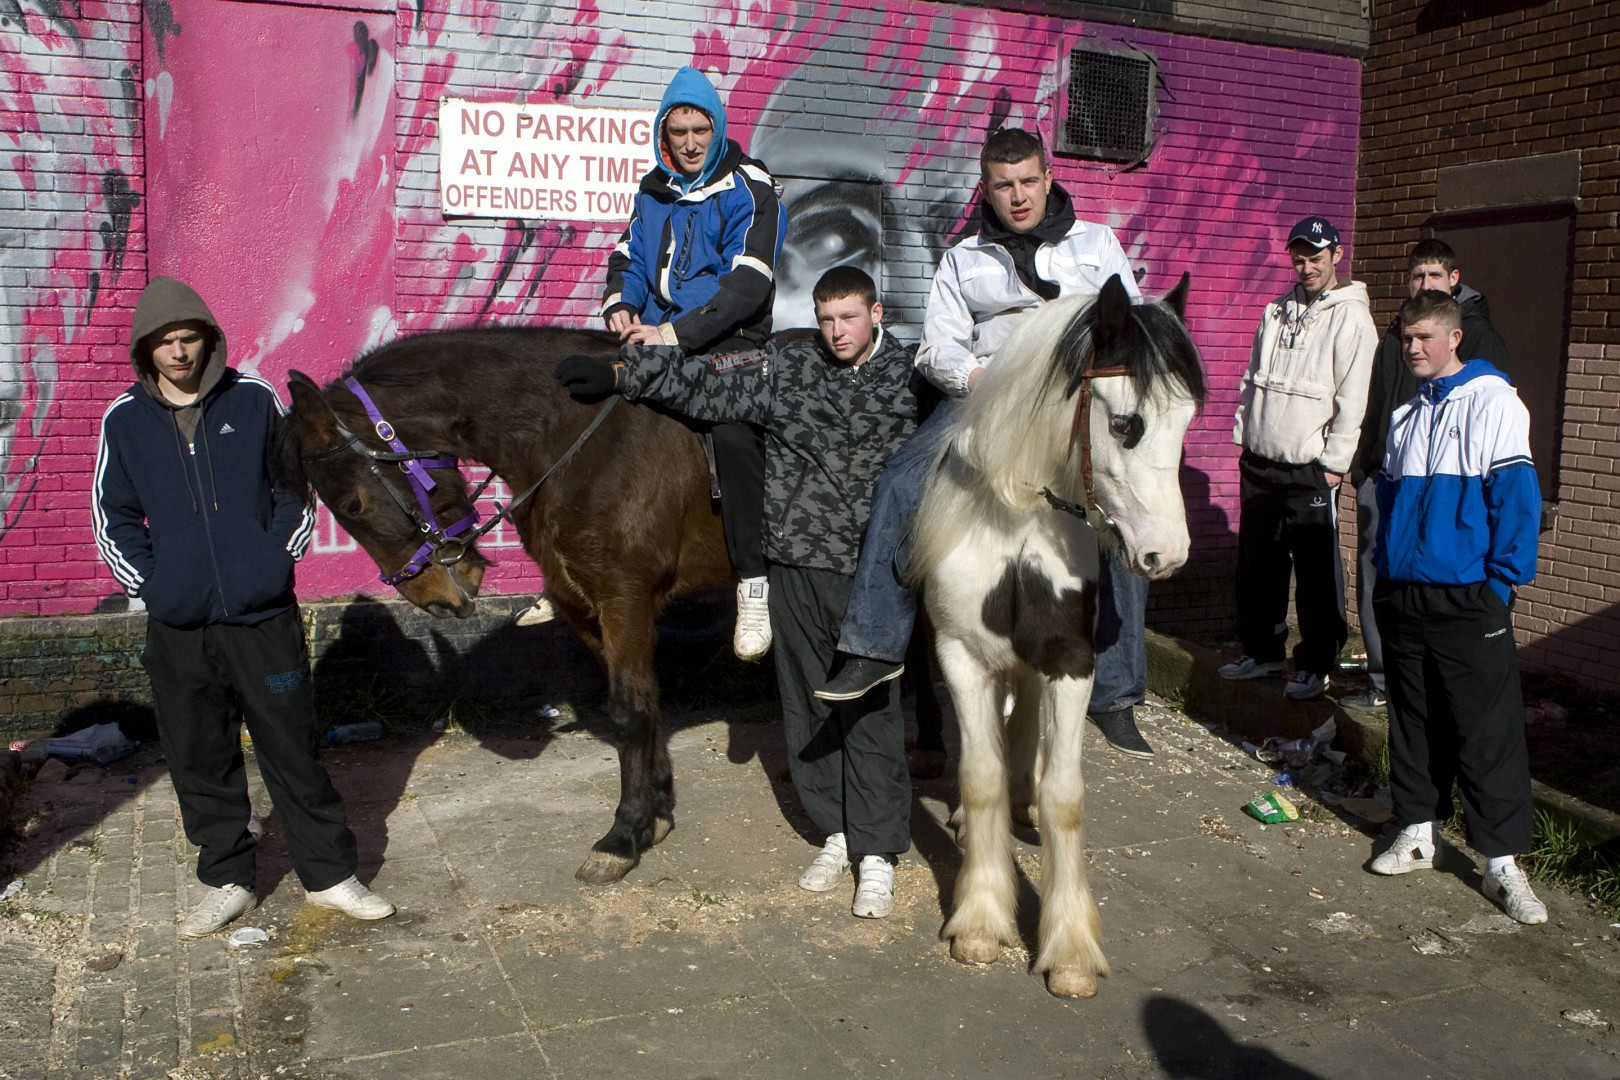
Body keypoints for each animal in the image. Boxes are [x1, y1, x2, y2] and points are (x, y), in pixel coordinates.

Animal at [278, 325, 729, 880]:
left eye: (352, 504)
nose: (435, 600)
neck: (580, 439)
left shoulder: (624, 595)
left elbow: (628, 711)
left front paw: (623, 836)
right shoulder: (580, 601)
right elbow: (644, 700)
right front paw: (656, 814)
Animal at [913, 275, 1205, 1003]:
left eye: (1189, 421)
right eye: (1126, 425)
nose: (1167, 555)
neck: (1015, 514)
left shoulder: (1070, 661)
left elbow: (1064, 796)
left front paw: (1070, 948)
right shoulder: (961, 655)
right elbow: (980, 776)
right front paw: (980, 919)